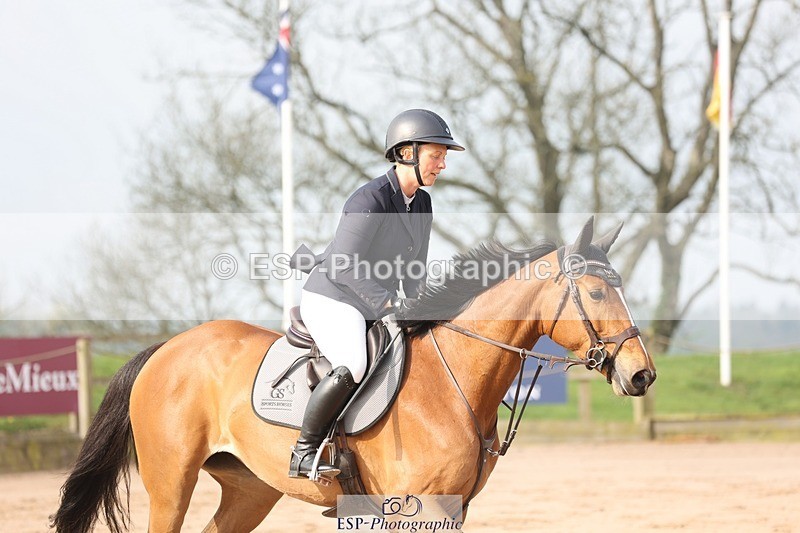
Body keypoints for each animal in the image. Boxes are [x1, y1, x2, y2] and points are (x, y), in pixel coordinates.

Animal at [50, 217, 656, 532]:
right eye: (597, 293)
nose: (642, 376)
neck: (453, 383)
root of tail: (165, 350)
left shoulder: (452, 508)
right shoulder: (417, 507)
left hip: (249, 490)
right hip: (170, 481)